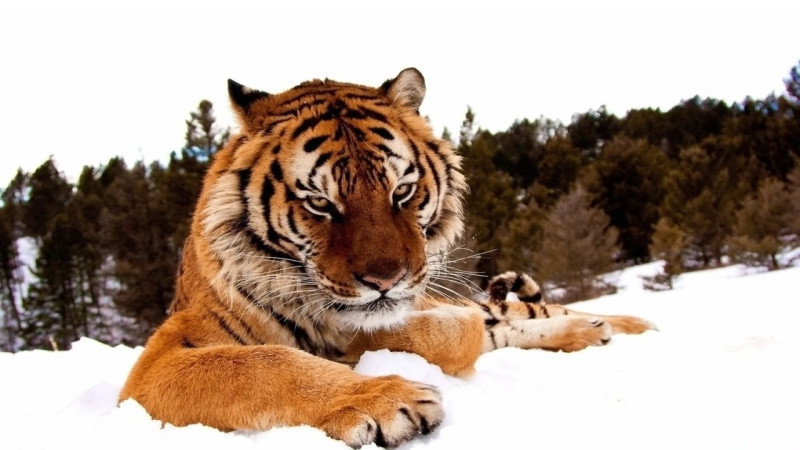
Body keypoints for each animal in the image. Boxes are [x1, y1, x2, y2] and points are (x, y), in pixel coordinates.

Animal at [120, 68, 655, 448]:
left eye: (402, 192)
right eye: (320, 204)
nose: (386, 280)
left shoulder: (434, 307)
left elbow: (445, 330)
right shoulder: (158, 361)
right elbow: (263, 365)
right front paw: (384, 397)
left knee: (531, 311)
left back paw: (625, 325)